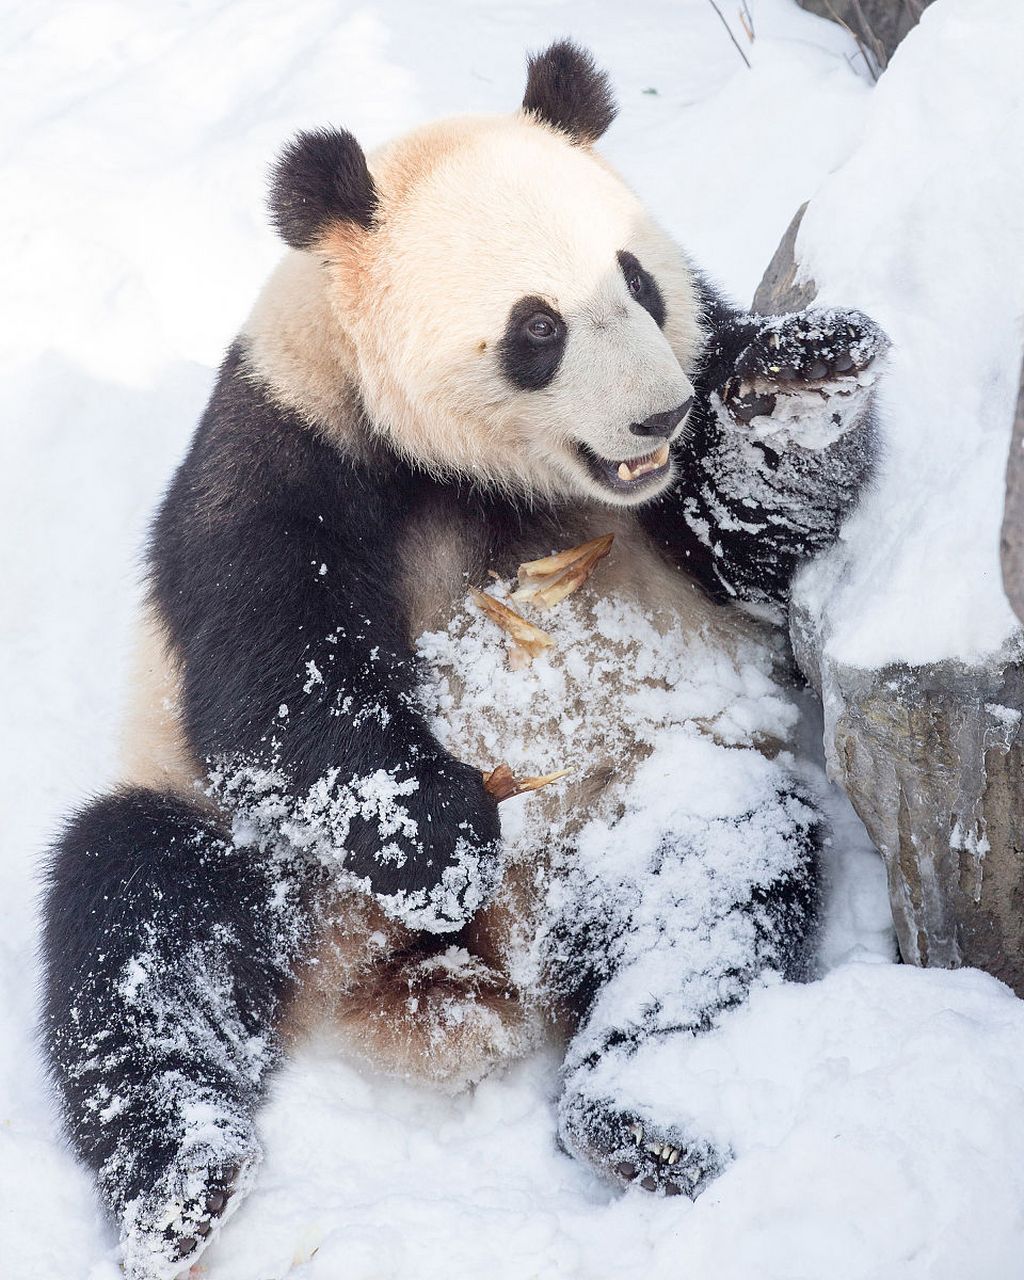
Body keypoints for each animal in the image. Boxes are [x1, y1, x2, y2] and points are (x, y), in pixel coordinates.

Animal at [41, 40, 885, 1280]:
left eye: (639, 283)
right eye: (536, 327)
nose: (659, 416)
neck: (487, 476)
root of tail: (442, 977)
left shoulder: (690, 425)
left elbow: (756, 553)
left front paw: (801, 383)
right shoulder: (287, 434)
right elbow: (271, 673)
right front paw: (437, 838)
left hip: (620, 803)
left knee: (707, 873)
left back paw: (635, 1115)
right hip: (275, 870)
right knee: (138, 913)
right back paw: (180, 1184)